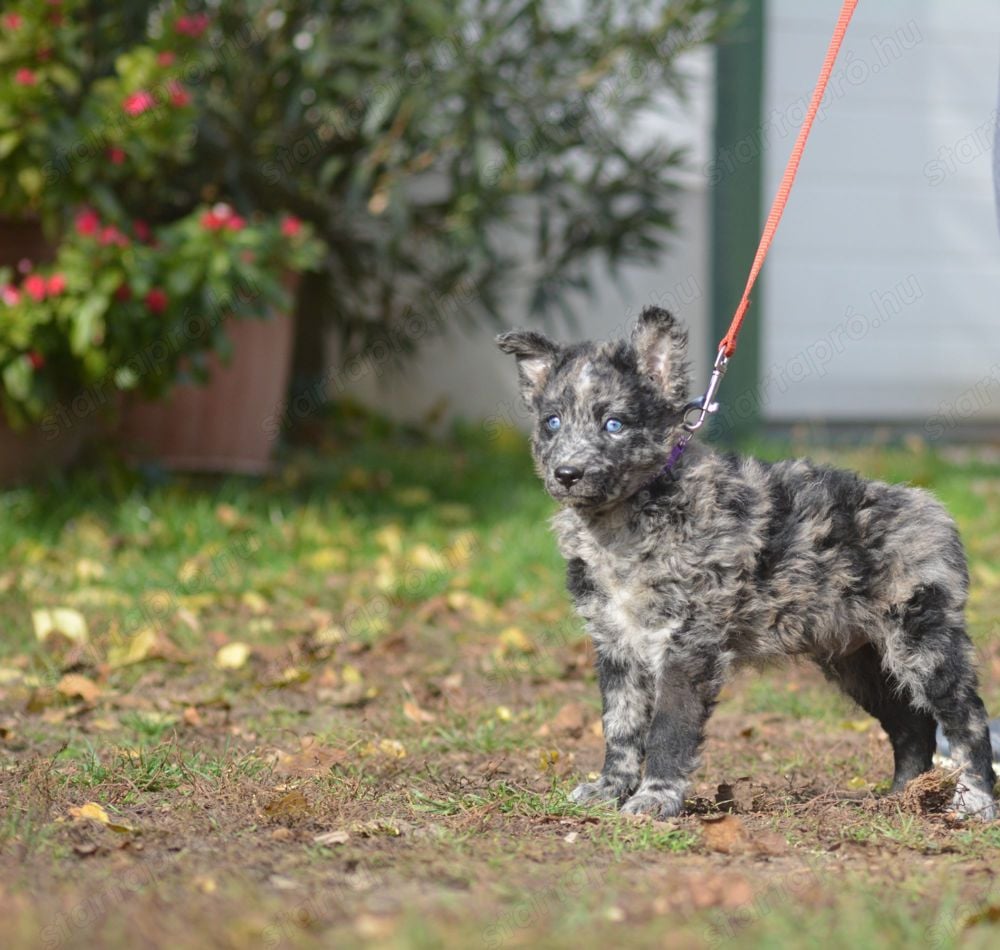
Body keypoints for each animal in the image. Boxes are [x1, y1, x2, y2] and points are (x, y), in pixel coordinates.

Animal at [496, 308, 996, 820]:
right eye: (552, 422)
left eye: (614, 424)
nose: (567, 475)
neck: (626, 523)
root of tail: (932, 508)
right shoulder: (616, 643)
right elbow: (620, 723)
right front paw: (610, 788)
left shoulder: (688, 643)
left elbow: (668, 728)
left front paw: (655, 799)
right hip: (858, 658)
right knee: (911, 724)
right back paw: (902, 797)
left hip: (923, 641)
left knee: (967, 719)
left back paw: (974, 802)